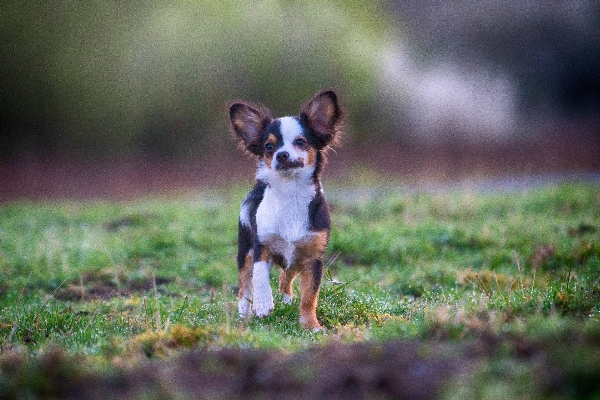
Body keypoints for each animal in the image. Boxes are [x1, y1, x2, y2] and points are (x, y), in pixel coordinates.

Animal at [229, 88, 342, 328]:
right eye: (269, 147)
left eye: (300, 142)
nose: (281, 154)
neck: (290, 193)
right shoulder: (261, 245)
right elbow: (260, 275)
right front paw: (263, 304)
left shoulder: (312, 259)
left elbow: (309, 297)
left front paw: (311, 325)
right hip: (245, 252)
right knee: (244, 286)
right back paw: (244, 315)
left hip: (296, 259)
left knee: (285, 278)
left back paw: (287, 301)